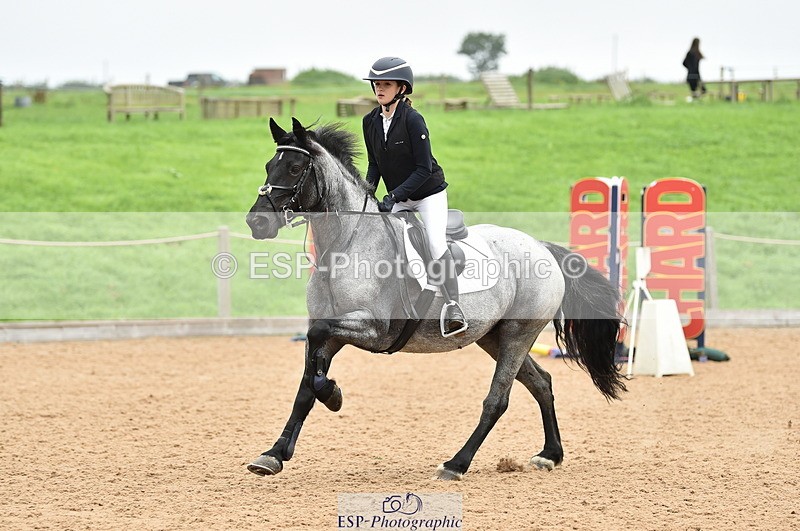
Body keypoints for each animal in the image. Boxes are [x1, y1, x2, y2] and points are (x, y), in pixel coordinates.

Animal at [245, 117, 626, 480]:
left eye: (295, 168)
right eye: (268, 165)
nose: (256, 223)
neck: (346, 244)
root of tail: (541, 247)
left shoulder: (372, 329)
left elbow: (318, 350)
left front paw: (333, 396)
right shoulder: (332, 332)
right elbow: (305, 388)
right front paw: (273, 455)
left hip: (520, 332)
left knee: (498, 399)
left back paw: (456, 464)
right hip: (494, 336)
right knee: (541, 383)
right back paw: (550, 454)